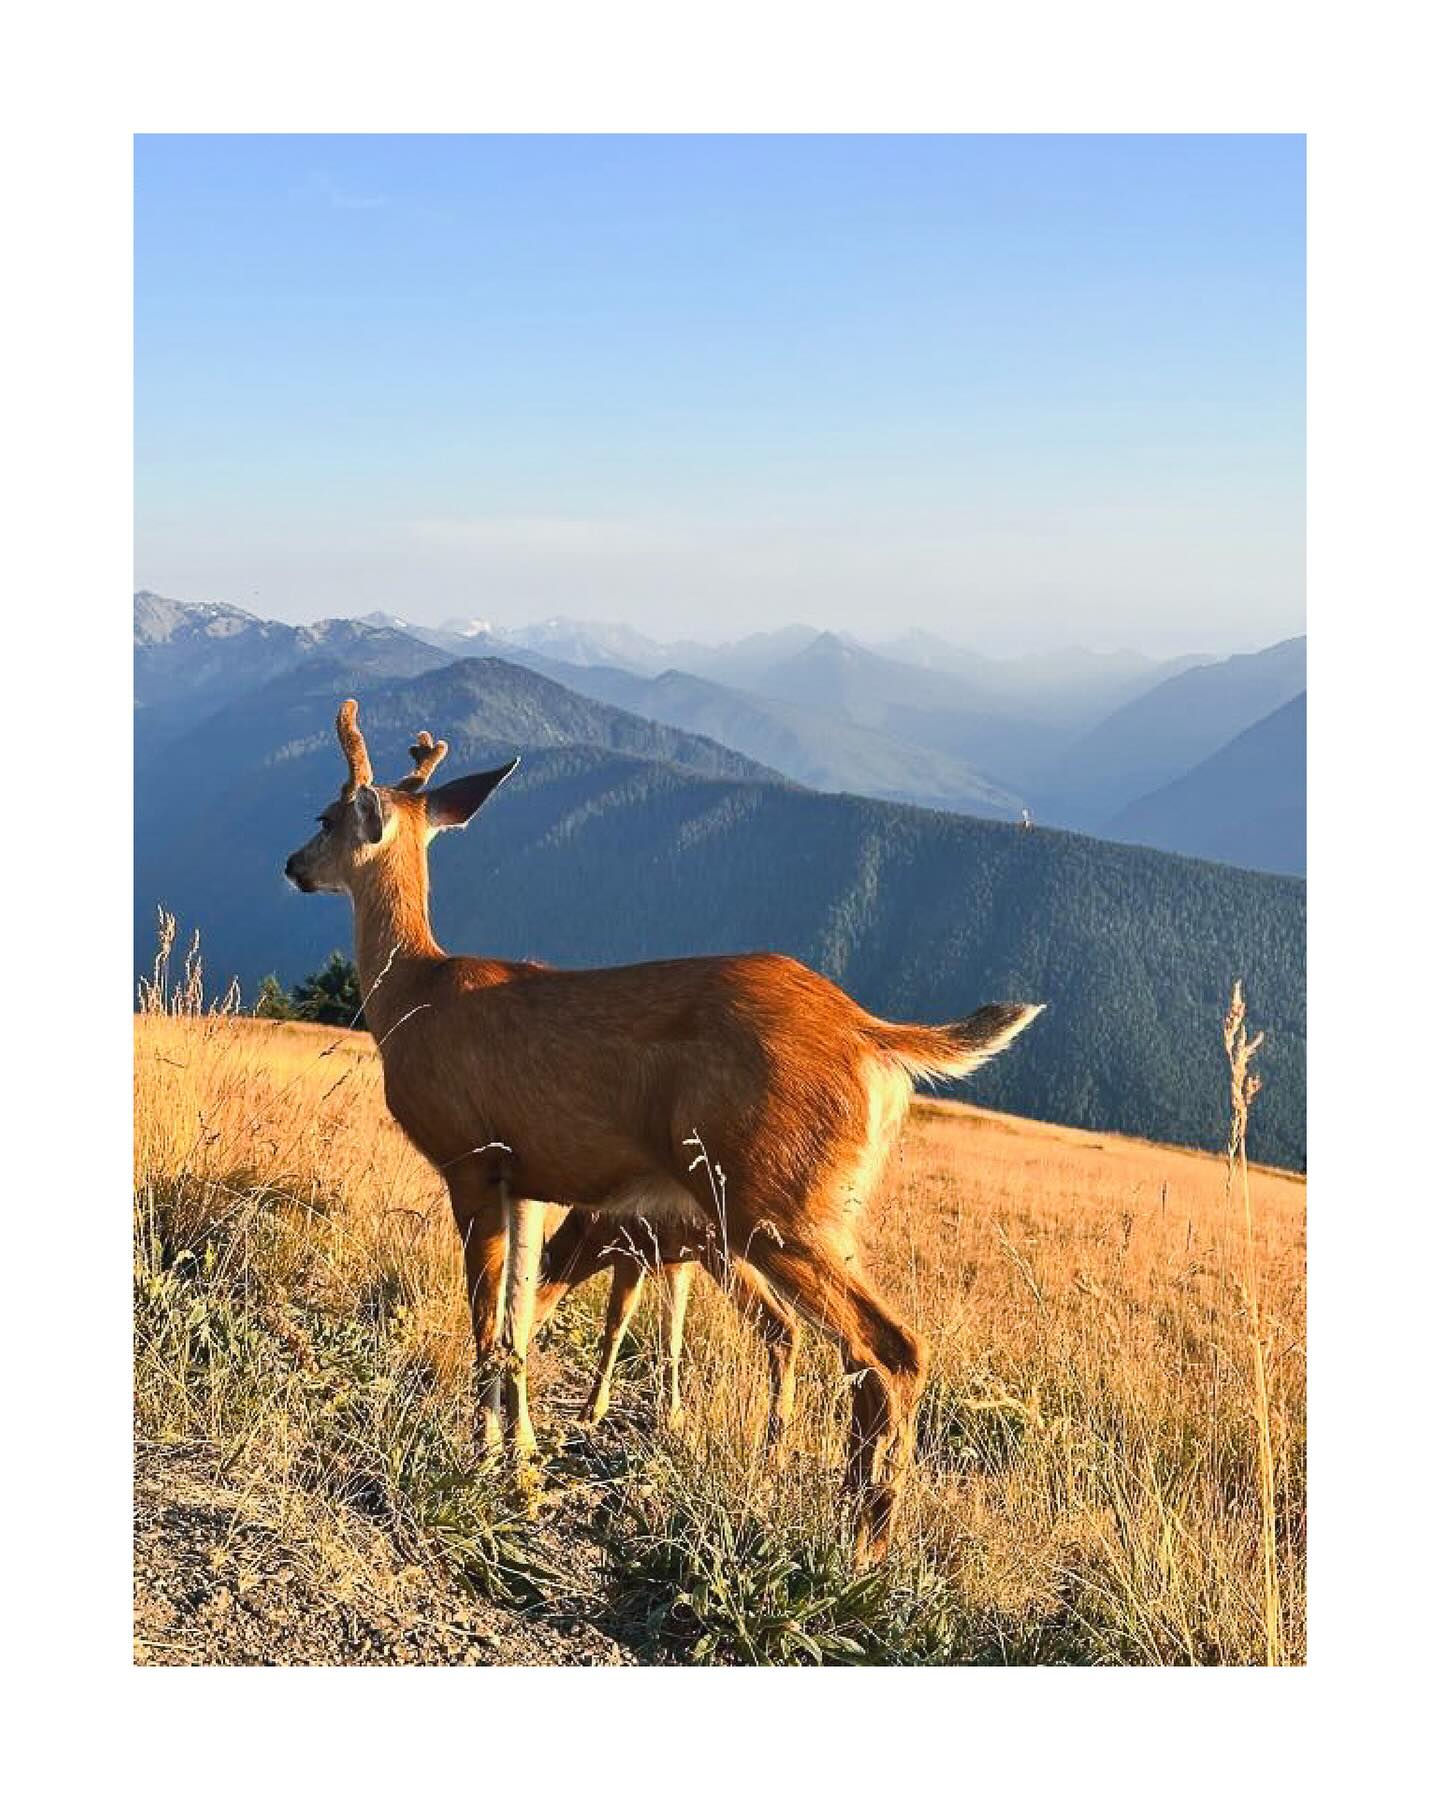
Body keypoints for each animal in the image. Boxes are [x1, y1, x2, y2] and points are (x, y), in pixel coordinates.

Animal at [284, 699, 1042, 1561]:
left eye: (325, 816)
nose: (290, 864)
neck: (411, 996)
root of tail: (872, 1033)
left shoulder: (470, 1157)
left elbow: (485, 1323)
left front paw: (478, 1458)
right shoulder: (529, 1178)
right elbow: (518, 1321)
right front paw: (524, 1465)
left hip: (772, 1195)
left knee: (888, 1349)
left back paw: (861, 1543)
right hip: (822, 1206)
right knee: (860, 1350)